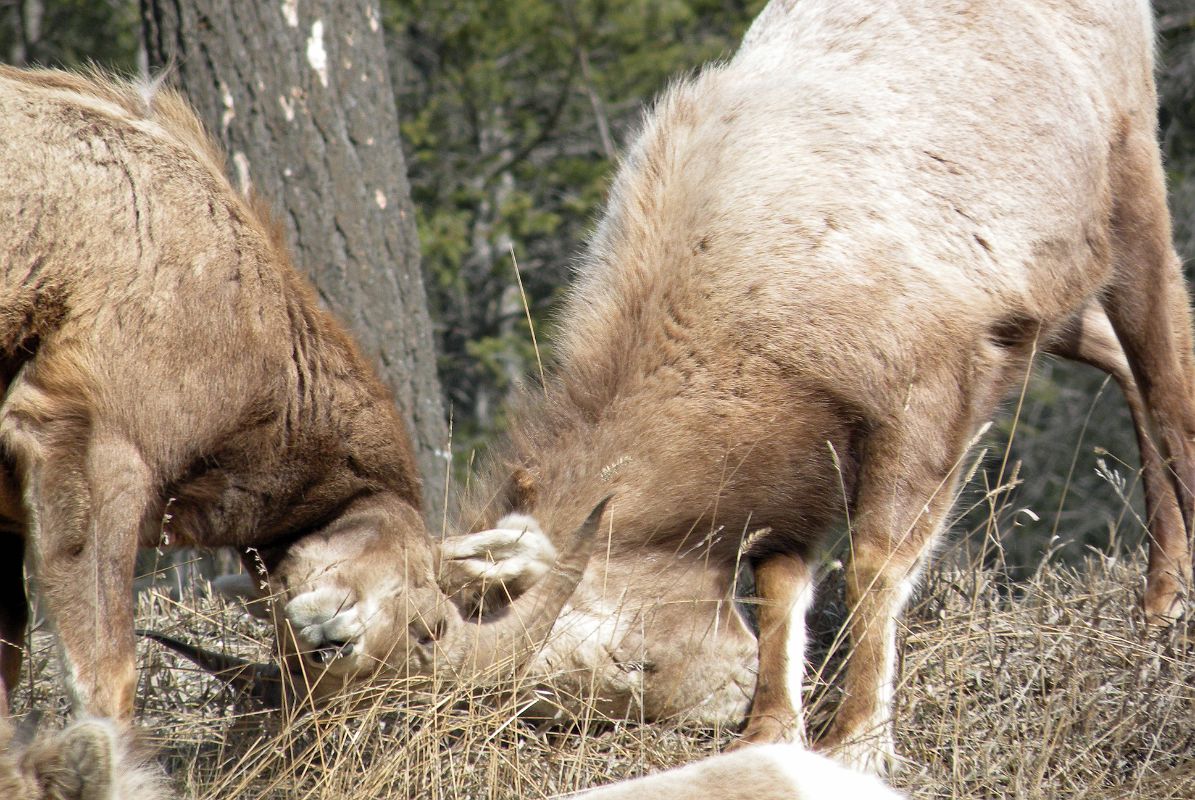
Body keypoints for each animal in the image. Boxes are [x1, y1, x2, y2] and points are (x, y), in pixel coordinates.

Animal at [449, 0, 1195, 774]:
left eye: (631, 661)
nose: (726, 700)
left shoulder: (923, 391)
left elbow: (874, 567)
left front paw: (860, 740)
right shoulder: (804, 458)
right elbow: (781, 590)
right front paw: (771, 728)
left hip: (1134, 188)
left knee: (1171, 389)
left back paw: (1168, 608)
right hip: (1052, 308)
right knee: (1124, 366)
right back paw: (1159, 599)